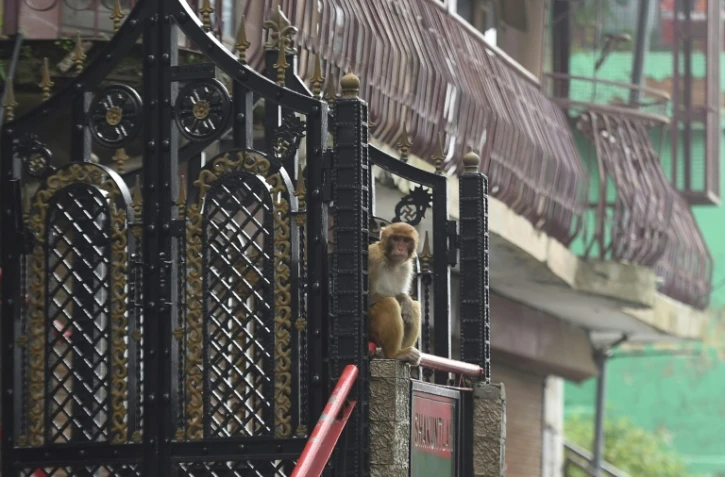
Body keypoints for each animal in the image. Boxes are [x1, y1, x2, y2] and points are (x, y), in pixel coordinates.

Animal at [368, 222, 422, 365]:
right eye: (396, 239)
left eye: (406, 240)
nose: (400, 248)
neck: (391, 263)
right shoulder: (373, 257)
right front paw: (402, 300)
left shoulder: (407, 267)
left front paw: (405, 299)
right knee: (389, 303)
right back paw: (395, 354)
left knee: (415, 307)